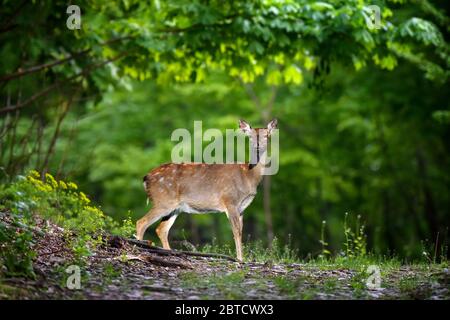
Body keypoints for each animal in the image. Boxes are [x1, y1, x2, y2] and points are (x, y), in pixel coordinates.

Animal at [136, 119, 278, 262]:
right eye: (250, 137)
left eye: (267, 136)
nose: (258, 146)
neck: (248, 176)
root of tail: (146, 178)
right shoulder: (230, 200)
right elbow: (236, 231)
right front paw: (239, 259)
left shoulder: (242, 207)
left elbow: (240, 231)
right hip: (163, 200)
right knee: (141, 222)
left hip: (175, 207)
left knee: (161, 229)